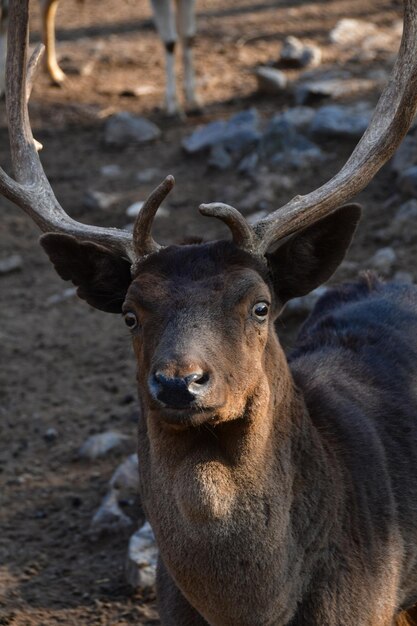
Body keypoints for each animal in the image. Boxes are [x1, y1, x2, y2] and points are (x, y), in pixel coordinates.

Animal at [0, 0, 198, 114]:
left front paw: (194, 100)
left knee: (45, 6)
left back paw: (56, 74)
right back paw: (4, 88)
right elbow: (170, 41)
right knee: (5, 14)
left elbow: (188, 36)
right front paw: (172, 105)